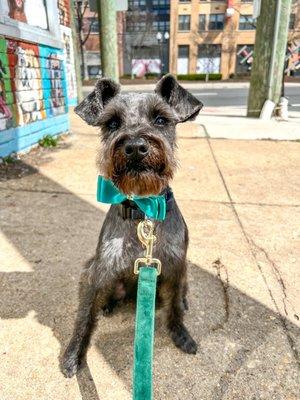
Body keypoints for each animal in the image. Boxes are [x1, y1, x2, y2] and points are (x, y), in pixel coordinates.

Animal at [61, 74, 202, 378]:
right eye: (112, 123)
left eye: (161, 119)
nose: (136, 146)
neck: (142, 210)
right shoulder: (97, 272)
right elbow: (84, 317)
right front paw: (73, 355)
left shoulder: (174, 266)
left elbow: (174, 307)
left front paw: (180, 334)